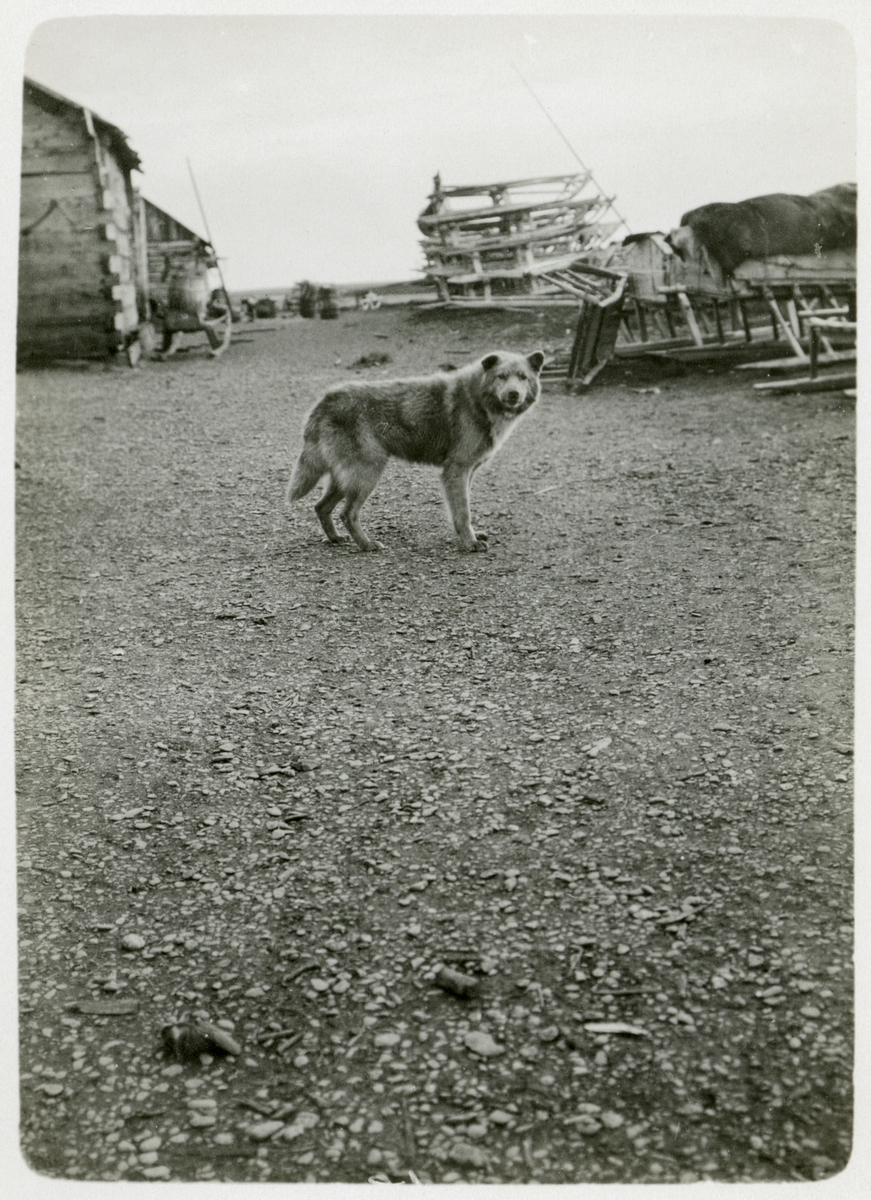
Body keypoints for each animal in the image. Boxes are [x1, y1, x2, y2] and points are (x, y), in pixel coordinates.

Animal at [290, 348, 542, 552]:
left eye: (523, 377)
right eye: (501, 377)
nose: (513, 394)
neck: (477, 399)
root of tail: (325, 401)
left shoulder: (465, 474)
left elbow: (459, 511)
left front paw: (468, 536)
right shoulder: (456, 471)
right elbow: (463, 512)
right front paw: (470, 543)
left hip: (346, 479)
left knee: (321, 507)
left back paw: (335, 538)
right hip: (366, 474)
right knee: (347, 514)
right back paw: (366, 545)